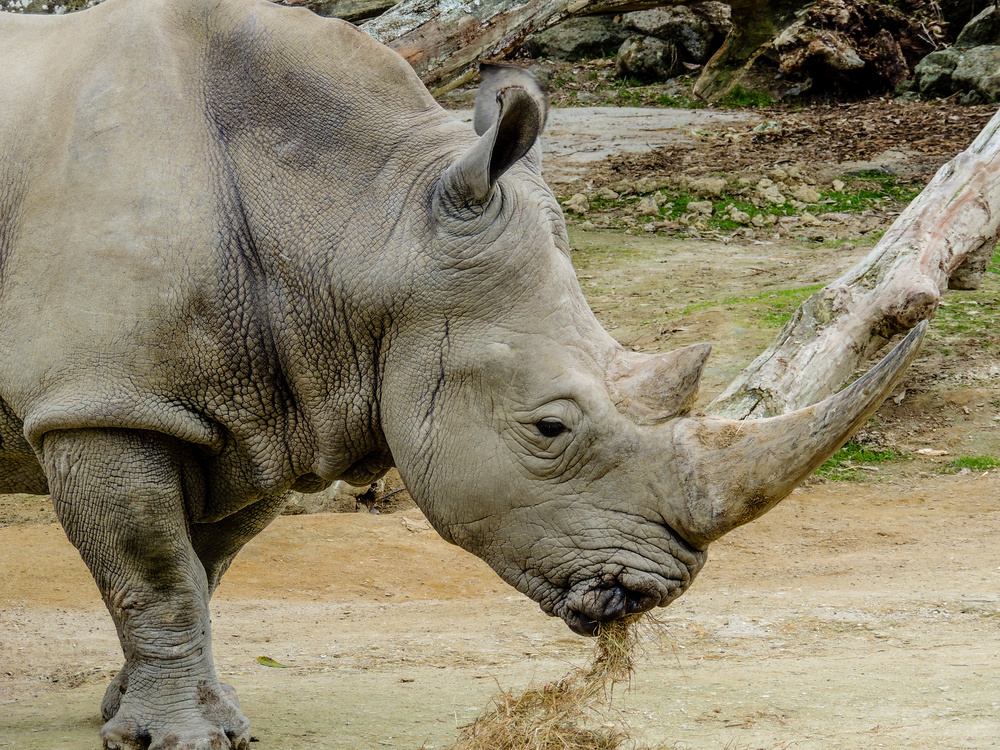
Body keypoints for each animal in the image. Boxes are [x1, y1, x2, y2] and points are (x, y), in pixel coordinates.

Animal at [0, 0, 924, 747]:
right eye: (549, 428)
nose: (650, 594)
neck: (357, 218)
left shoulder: (256, 401)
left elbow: (207, 562)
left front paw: (156, 715)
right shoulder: (102, 400)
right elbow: (157, 573)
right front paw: (183, 740)